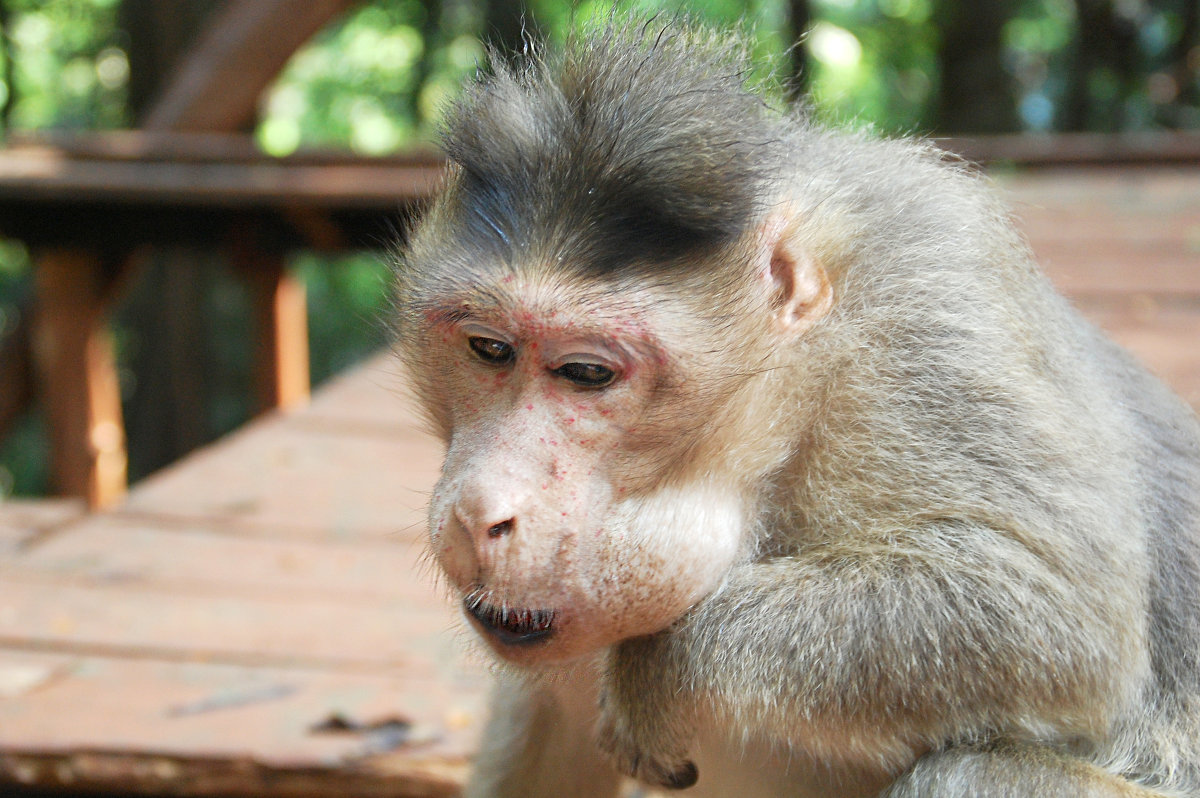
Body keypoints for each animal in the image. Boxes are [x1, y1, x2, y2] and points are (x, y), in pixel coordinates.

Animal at [391, 17, 1200, 796]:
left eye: (585, 372)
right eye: (489, 349)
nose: (477, 513)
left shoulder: (929, 316)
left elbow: (1056, 616)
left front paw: (660, 667)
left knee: (967, 773)